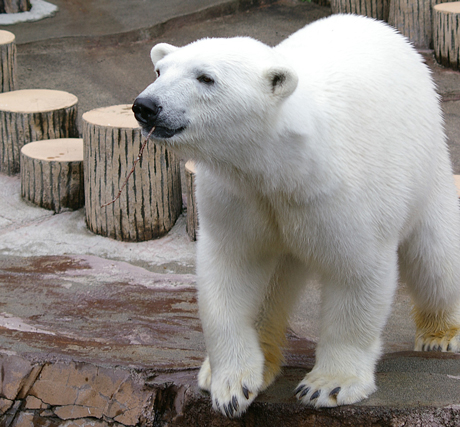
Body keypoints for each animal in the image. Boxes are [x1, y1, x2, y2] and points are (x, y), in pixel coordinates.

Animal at [132, 15, 460, 420]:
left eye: (206, 78)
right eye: (159, 70)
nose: (146, 105)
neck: (282, 165)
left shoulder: (339, 197)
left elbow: (356, 273)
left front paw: (328, 385)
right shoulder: (240, 196)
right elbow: (232, 270)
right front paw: (230, 385)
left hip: (426, 160)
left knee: (435, 257)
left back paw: (440, 336)